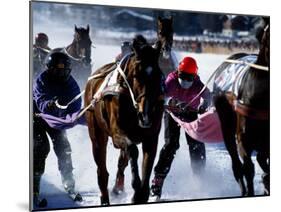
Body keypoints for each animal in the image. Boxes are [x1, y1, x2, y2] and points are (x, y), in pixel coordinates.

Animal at [85, 37, 164, 205]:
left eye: (158, 74)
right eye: (136, 75)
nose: (145, 114)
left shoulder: (151, 136)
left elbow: (147, 161)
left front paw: (142, 193)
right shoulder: (118, 134)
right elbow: (132, 150)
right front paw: (136, 187)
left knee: (122, 161)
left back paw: (117, 188)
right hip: (96, 131)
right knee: (102, 168)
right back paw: (105, 197)